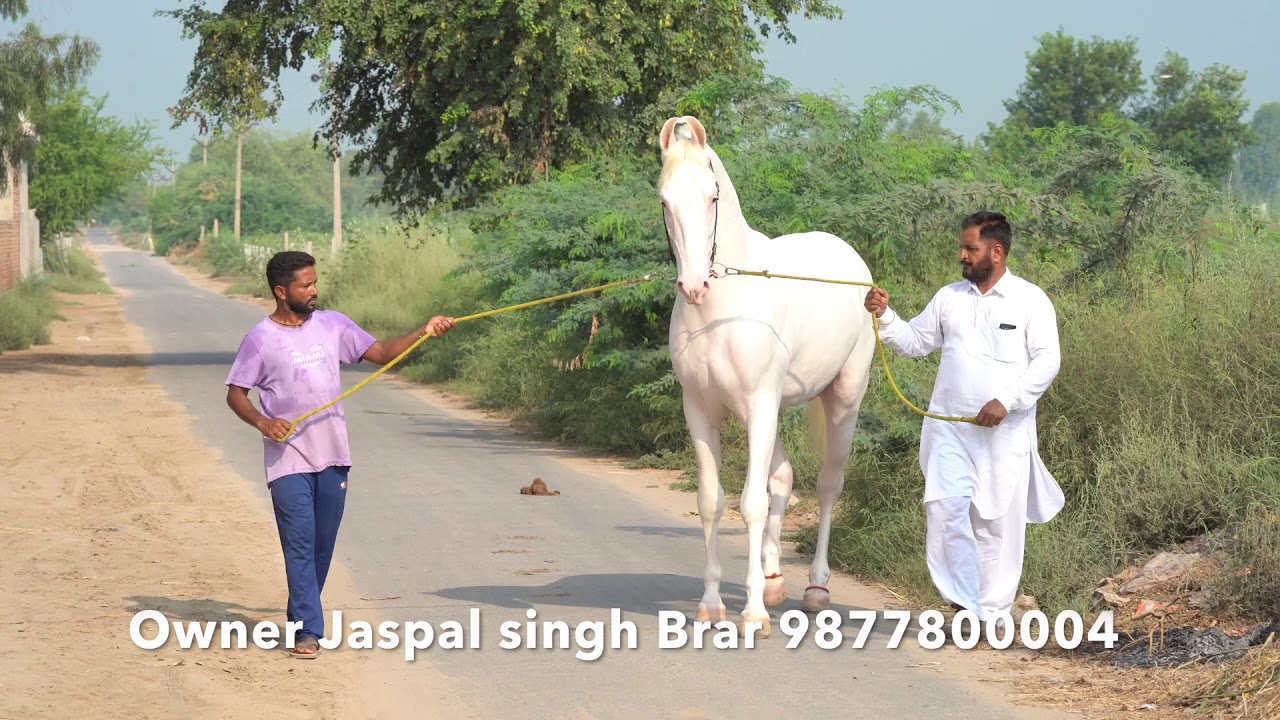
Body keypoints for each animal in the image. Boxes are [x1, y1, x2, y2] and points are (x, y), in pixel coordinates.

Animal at [658, 115, 877, 638]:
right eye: (665, 201)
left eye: (712, 196)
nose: (694, 286)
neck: (721, 307)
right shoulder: (703, 410)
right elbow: (712, 501)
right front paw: (712, 604)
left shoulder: (759, 404)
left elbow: (751, 503)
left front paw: (754, 613)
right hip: (772, 409)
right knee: (783, 478)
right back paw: (776, 580)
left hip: (842, 399)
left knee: (827, 485)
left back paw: (815, 588)